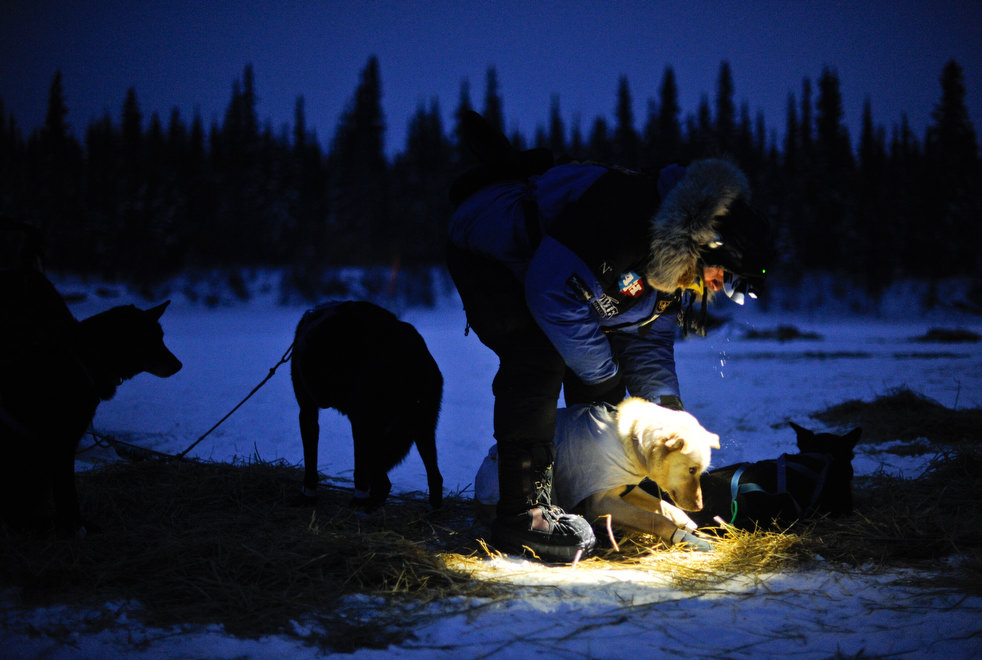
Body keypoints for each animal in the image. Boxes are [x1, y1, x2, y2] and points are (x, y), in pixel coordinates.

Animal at [0, 270, 182, 532]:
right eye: (150, 340)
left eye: (162, 338)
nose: (179, 365)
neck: (85, 359)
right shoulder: (61, 445)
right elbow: (68, 499)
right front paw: (76, 530)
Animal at [290, 300, 444, 510]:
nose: (324, 401)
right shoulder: (309, 409)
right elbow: (311, 462)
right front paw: (308, 495)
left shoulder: (358, 420)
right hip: (419, 428)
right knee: (429, 475)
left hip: (394, 428)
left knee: (383, 477)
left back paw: (364, 502)